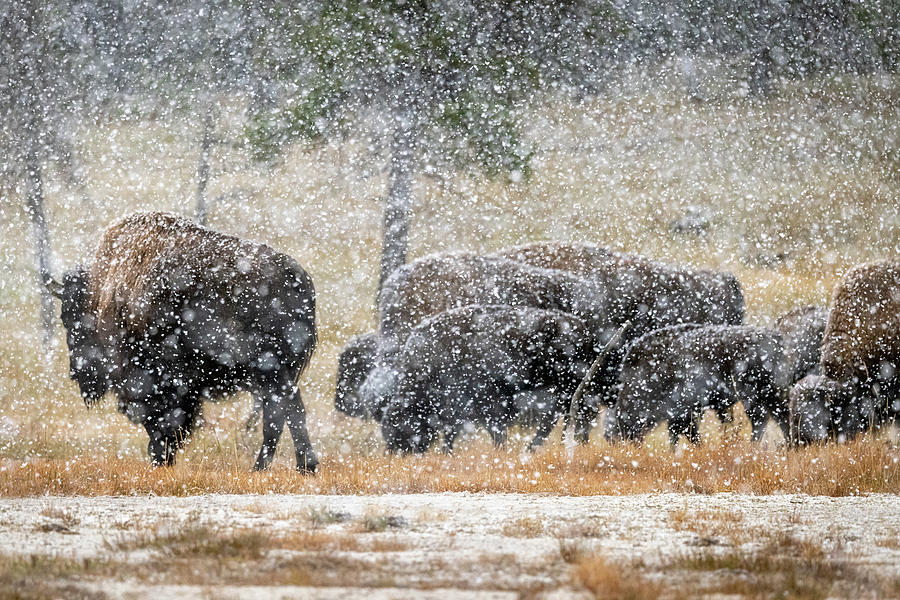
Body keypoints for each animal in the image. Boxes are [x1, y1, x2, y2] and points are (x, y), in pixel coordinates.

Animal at [48, 213, 320, 472]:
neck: (104, 296)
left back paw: (279, 466)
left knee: (283, 410)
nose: (75, 373)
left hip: (269, 371)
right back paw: (296, 466)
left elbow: (162, 421)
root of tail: (298, 277)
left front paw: (160, 458)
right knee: (285, 410)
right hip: (274, 373)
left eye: (69, 319)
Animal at [616, 324, 792, 446]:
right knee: (775, 418)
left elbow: (689, 433)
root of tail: (776, 338)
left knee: (766, 419)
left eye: (632, 394)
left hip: (755, 395)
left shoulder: (685, 410)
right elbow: (676, 434)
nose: (623, 429)